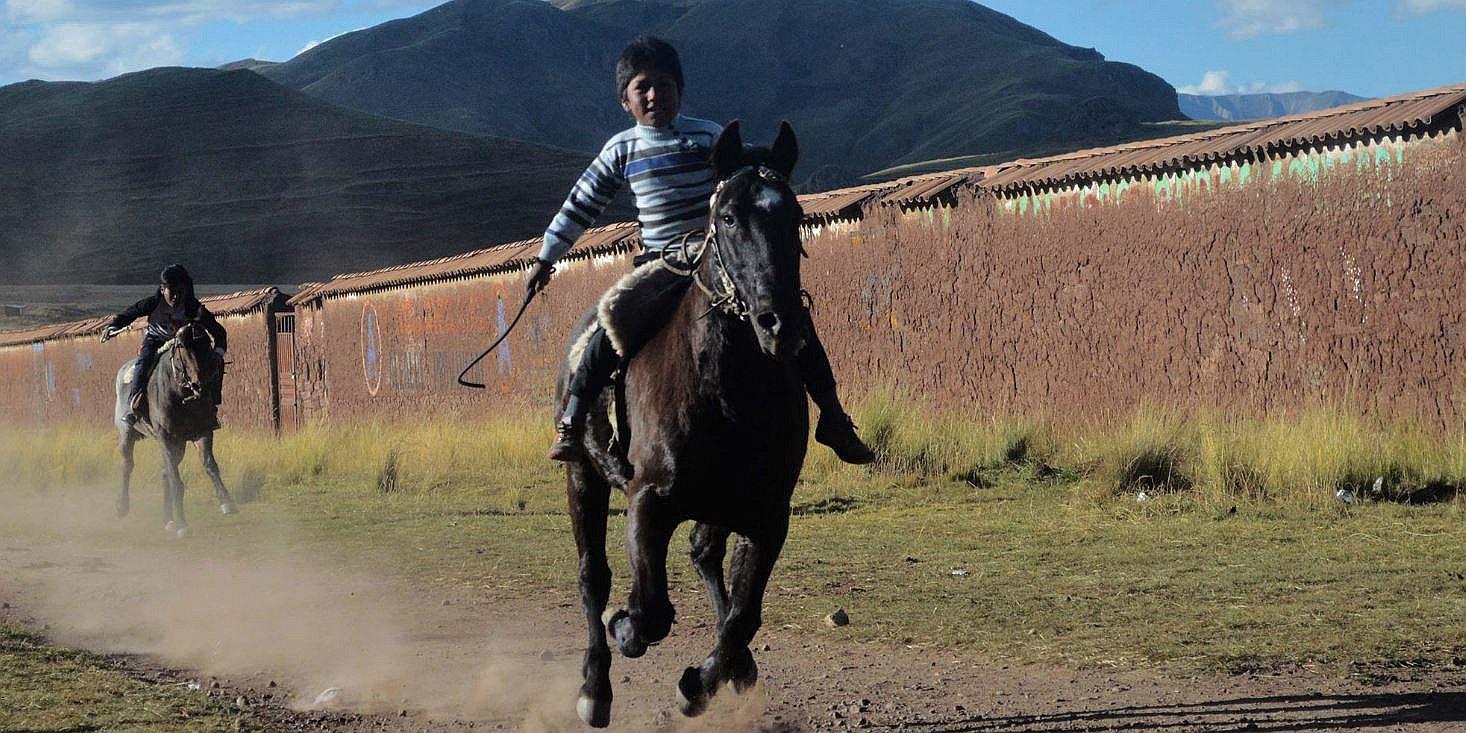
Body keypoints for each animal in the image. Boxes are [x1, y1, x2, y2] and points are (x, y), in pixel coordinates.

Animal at [113, 321, 236, 537]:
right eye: (181, 347)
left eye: (207, 343)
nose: (200, 383)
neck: (182, 396)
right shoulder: (166, 437)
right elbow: (176, 479)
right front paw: (181, 523)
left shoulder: (202, 432)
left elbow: (210, 465)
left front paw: (226, 503)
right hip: (127, 434)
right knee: (128, 465)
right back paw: (123, 506)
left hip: (179, 444)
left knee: (165, 472)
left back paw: (167, 519)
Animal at [561, 120, 810, 727]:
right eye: (729, 217)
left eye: (793, 215)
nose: (779, 322)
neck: (727, 390)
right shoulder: (649, 502)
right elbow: (650, 609)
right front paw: (627, 627)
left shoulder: (768, 515)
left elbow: (744, 616)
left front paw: (699, 683)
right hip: (583, 476)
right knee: (592, 577)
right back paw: (595, 687)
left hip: (721, 503)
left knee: (704, 555)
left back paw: (735, 669)